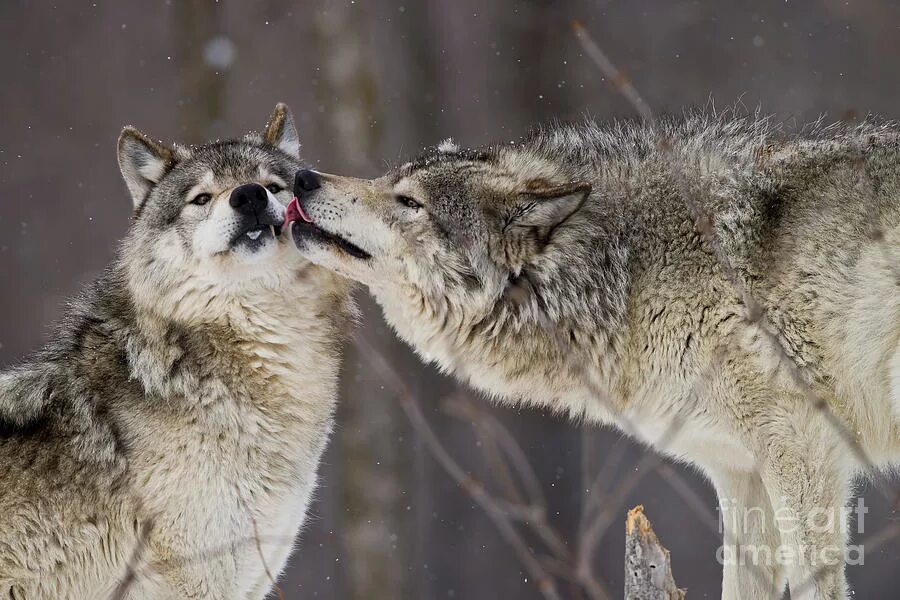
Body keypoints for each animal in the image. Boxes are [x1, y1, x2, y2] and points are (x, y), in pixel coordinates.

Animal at [288, 113, 900, 600]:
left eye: (410, 202)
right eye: (388, 181)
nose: (301, 177)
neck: (628, 275)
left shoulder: (801, 454)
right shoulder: (738, 473)